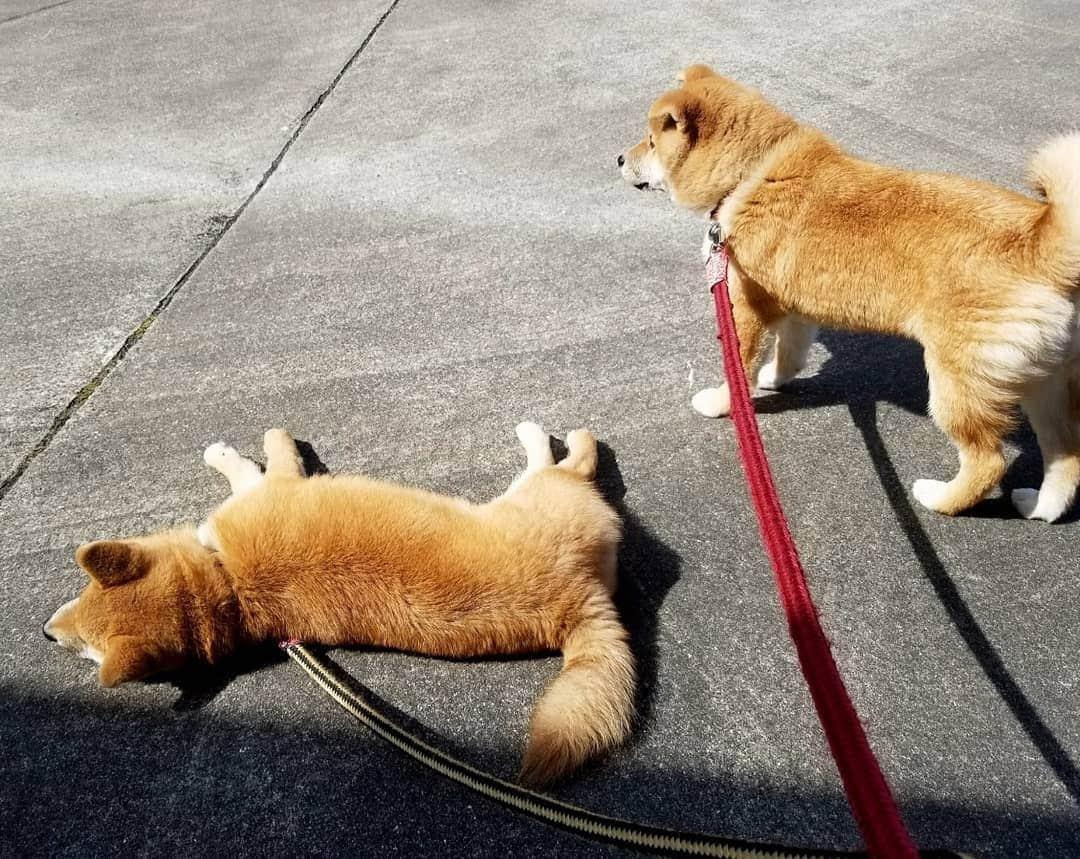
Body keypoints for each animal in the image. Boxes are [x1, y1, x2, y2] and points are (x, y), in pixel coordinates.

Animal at [44, 423, 630, 786]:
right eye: (87, 650)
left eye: (80, 595)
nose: (47, 633)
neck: (227, 585)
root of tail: (580, 601)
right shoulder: (268, 487)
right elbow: (258, 460)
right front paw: (242, 448)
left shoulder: (269, 488)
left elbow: (261, 458)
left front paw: (245, 446)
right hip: (541, 492)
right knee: (574, 461)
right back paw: (550, 435)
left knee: (572, 461)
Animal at [617, 63, 1080, 520]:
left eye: (652, 142)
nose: (619, 157)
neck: (752, 173)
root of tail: (1039, 243)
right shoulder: (794, 304)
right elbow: (789, 352)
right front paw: (775, 379)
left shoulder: (748, 305)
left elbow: (740, 366)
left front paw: (721, 402)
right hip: (1045, 383)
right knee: (1067, 458)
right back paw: (1039, 506)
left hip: (957, 382)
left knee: (988, 461)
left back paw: (939, 498)